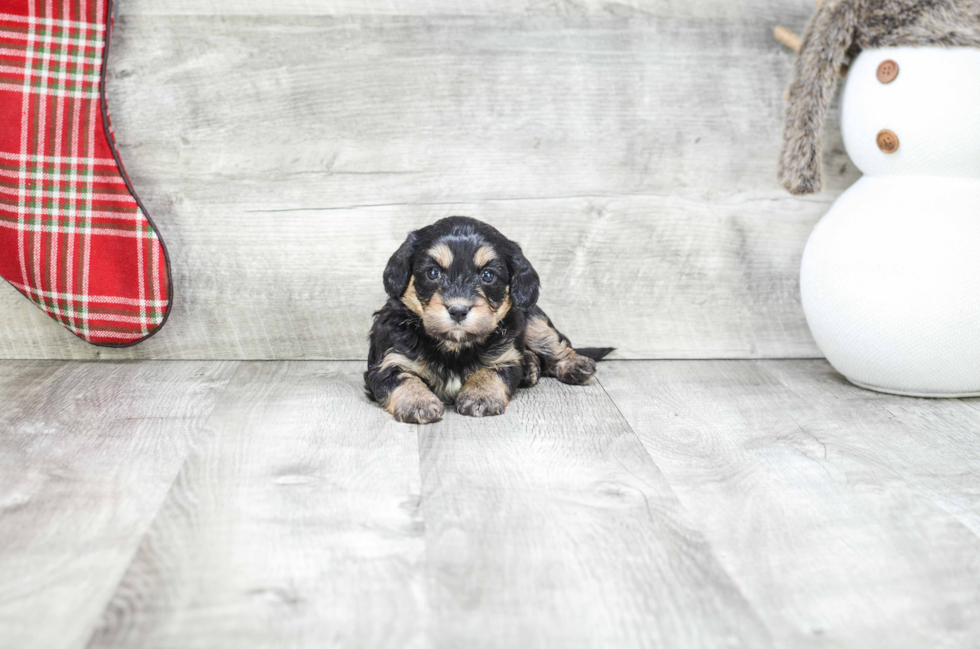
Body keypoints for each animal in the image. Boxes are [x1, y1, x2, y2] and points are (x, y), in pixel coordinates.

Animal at [368, 215, 612, 422]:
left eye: (488, 275)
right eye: (433, 273)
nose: (458, 310)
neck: (454, 346)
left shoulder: (504, 356)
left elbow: (490, 371)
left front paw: (480, 396)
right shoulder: (390, 360)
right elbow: (403, 379)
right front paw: (418, 402)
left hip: (533, 319)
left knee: (554, 343)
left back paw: (574, 364)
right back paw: (531, 366)